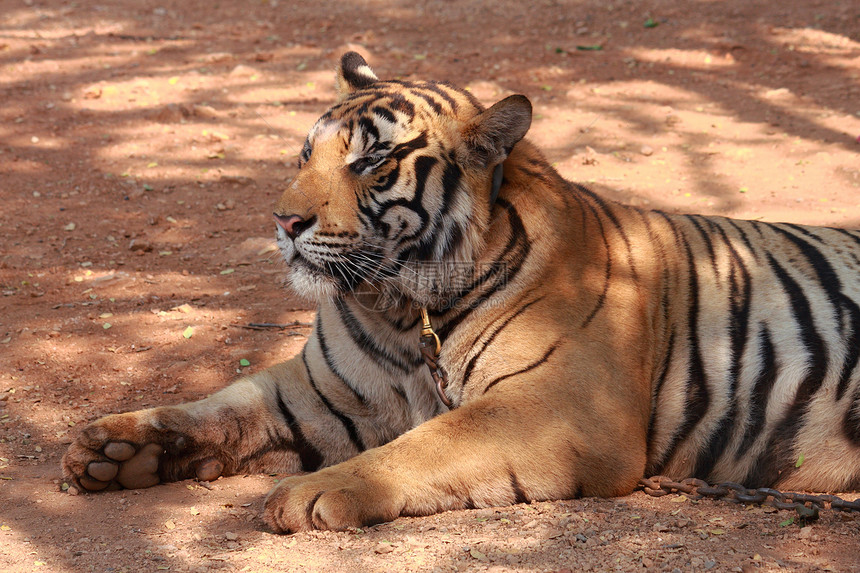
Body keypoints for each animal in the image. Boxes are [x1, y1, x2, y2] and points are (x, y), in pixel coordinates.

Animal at [63, 52, 860, 532]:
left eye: (371, 161)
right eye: (305, 154)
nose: (284, 221)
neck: (399, 308)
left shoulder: (560, 406)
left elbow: (431, 439)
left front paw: (310, 493)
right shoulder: (322, 392)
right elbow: (227, 402)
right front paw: (113, 448)